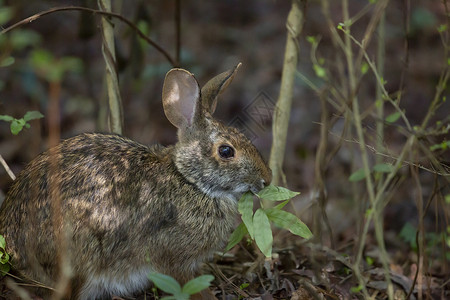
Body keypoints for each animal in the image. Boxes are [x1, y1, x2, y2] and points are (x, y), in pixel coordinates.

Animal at [0, 63, 270, 300]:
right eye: (226, 151)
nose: (266, 179)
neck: (189, 181)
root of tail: (13, 249)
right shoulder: (176, 259)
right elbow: (187, 285)